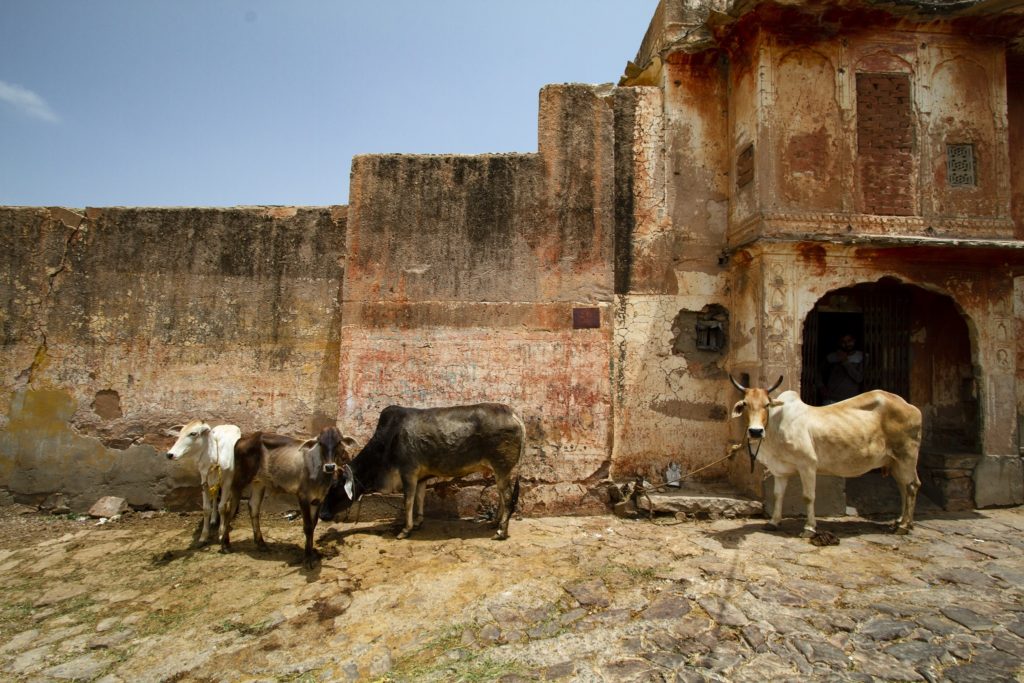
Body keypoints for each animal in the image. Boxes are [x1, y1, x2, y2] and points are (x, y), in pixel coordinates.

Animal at [164, 419, 242, 548]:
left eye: (193, 433)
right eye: (180, 433)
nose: (170, 454)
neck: (214, 460)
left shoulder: (227, 482)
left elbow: (222, 507)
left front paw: (221, 533)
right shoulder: (204, 481)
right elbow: (206, 509)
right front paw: (203, 537)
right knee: (215, 497)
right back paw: (214, 519)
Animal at [319, 403, 524, 540]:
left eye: (334, 487)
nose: (322, 514)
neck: (387, 443)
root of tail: (513, 413)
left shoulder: (408, 473)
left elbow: (407, 501)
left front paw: (405, 530)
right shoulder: (421, 477)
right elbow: (419, 499)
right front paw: (418, 523)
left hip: (502, 467)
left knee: (507, 497)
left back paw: (501, 530)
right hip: (500, 471)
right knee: (502, 496)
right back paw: (495, 523)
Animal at [733, 376, 925, 536]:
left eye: (767, 404)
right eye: (745, 404)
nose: (755, 431)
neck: (776, 425)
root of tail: (911, 407)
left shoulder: (808, 465)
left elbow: (808, 496)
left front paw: (809, 528)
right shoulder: (780, 471)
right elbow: (778, 495)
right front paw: (773, 522)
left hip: (907, 456)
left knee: (912, 486)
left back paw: (903, 526)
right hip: (895, 462)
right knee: (903, 486)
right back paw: (901, 521)